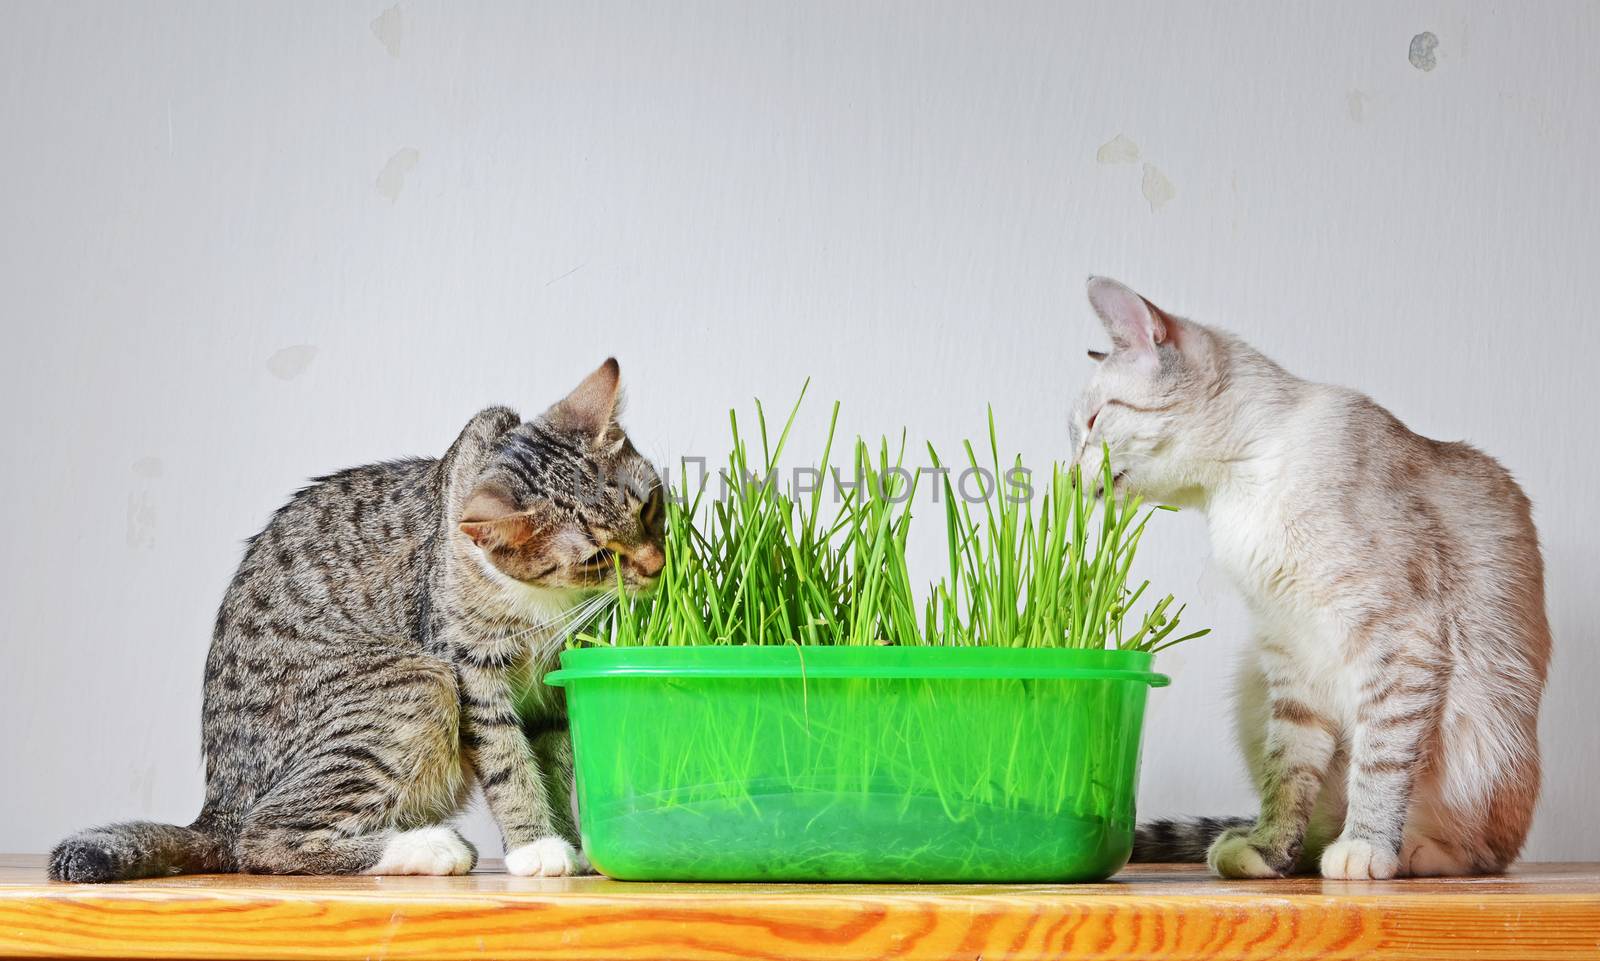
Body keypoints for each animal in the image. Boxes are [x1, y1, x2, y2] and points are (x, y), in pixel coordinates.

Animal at [50, 358, 662, 876]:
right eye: (598, 558)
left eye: (649, 507)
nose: (658, 565)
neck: (545, 605)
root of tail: (217, 805)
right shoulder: (469, 667)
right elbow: (510, 761)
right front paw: (535, 846)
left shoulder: (554, 684)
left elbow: (557, 763)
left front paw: (573, 843)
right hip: (415, 681)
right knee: (261, 841)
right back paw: (429, 847)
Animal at [1075, 275, 1548, 876]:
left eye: (1092, 423)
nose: (1069, 478)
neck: (1236, 491)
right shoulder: (1292, 650)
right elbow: (1288, 772)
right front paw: (1267, 849)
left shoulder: (1399, 640)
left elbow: (1379, 762)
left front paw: (1366, 847)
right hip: (1251, 678)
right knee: (1315, 817)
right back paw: (1278, 848)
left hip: (1485, 742)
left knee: (1483, 853)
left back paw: (1409, 852)